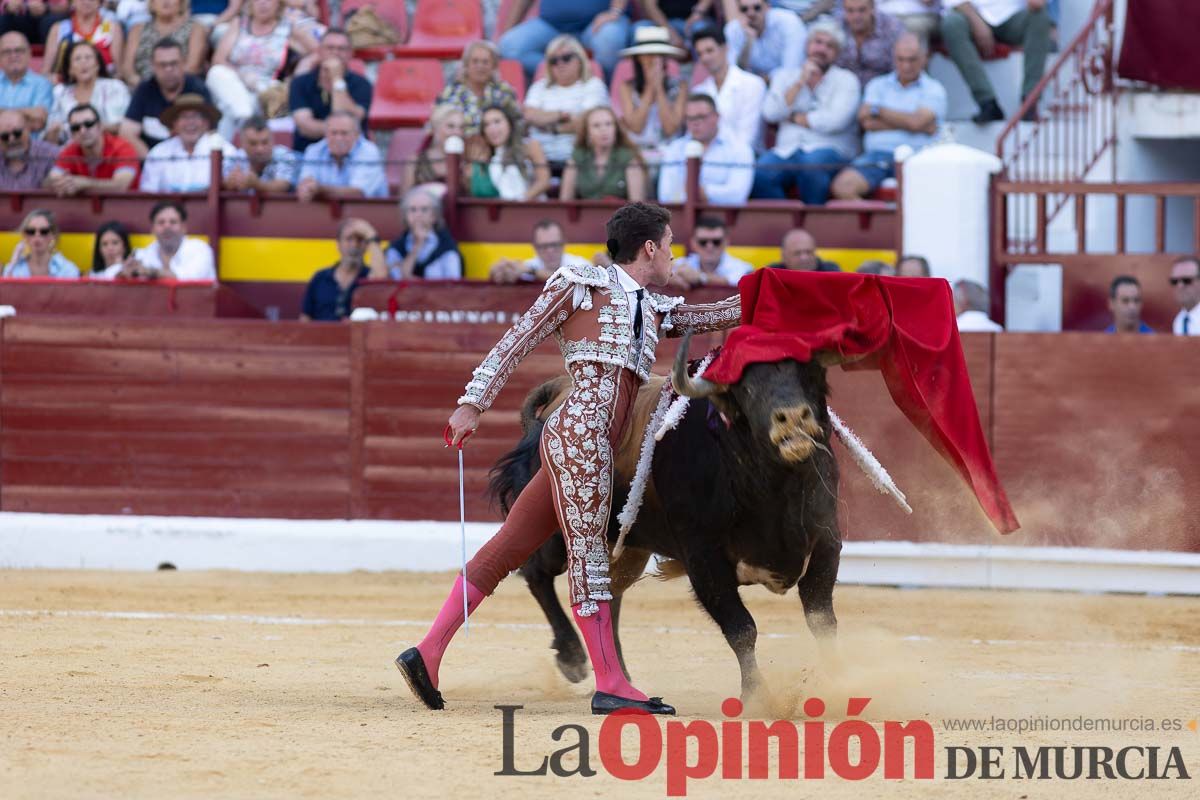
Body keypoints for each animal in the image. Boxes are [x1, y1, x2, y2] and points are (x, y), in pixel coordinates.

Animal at [487, 333, 844, 700]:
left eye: (809, 373)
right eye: (745, 387)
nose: (794, 418)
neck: (776, 487)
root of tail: (560, 391)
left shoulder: (826, 543)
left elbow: (822, 621)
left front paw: (839, 684)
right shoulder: (704, 560)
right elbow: (741, 627)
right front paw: (756, 697)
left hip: (627, 547)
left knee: (609, 593)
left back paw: (621, 678)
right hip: (558, 531)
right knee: (535, 572)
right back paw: (572, 656)